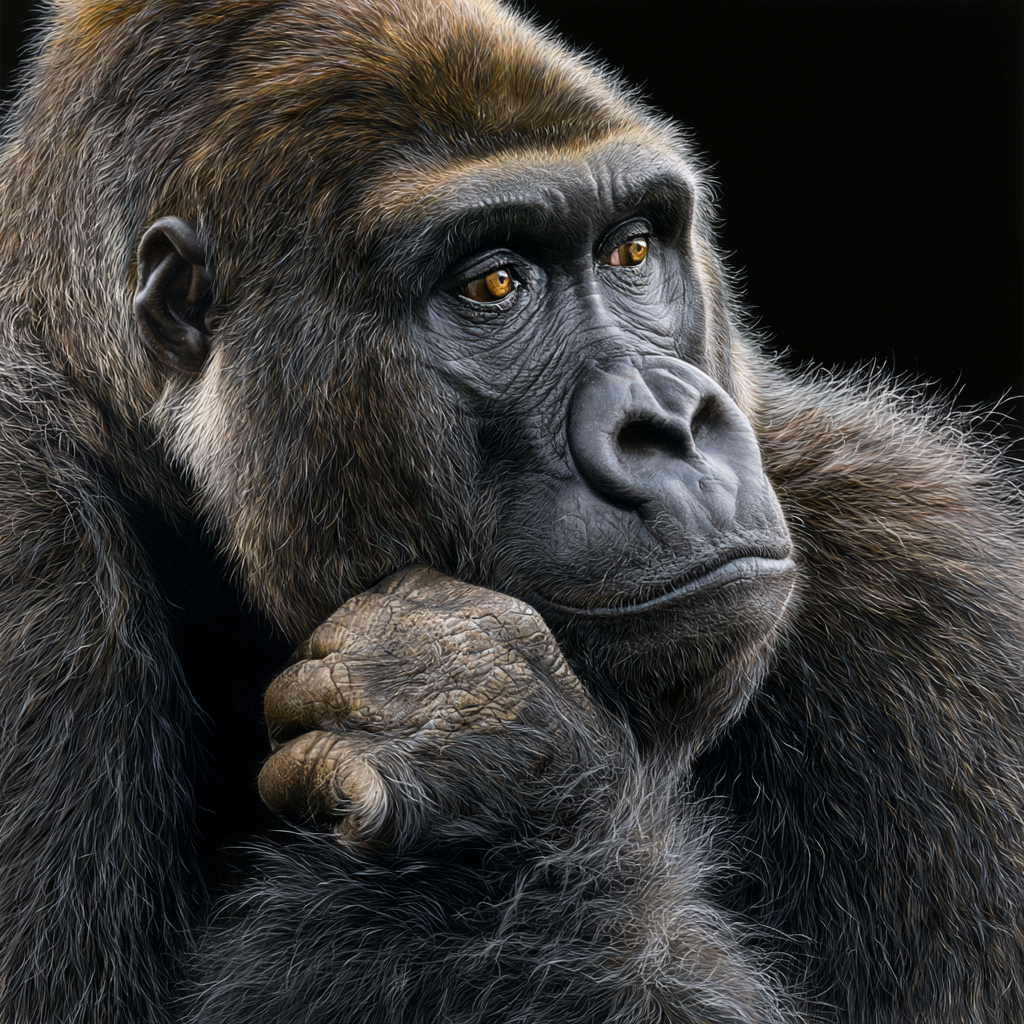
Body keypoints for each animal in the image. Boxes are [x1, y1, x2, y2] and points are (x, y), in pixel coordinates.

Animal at [0, 1, 1022, 1023]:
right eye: (492, 284)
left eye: (631, 250)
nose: (670, 425)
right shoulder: (28, 540)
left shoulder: (918, 553)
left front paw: (484, 758)